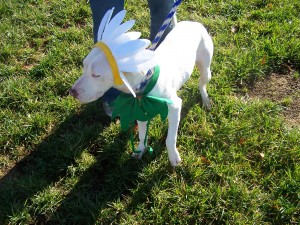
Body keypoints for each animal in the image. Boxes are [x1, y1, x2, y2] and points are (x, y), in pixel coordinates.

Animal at [69, 10, 213, 167]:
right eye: (83, 66)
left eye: (96, 75)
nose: (72, 92)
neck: (145, 82)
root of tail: (192, 23)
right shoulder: (139, 110)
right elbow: (142, 134)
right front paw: (140, 150)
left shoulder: (175, 107)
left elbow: (170, 138)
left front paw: (173, 156)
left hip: (206, 70)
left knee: (201, 84)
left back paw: (206, 100)